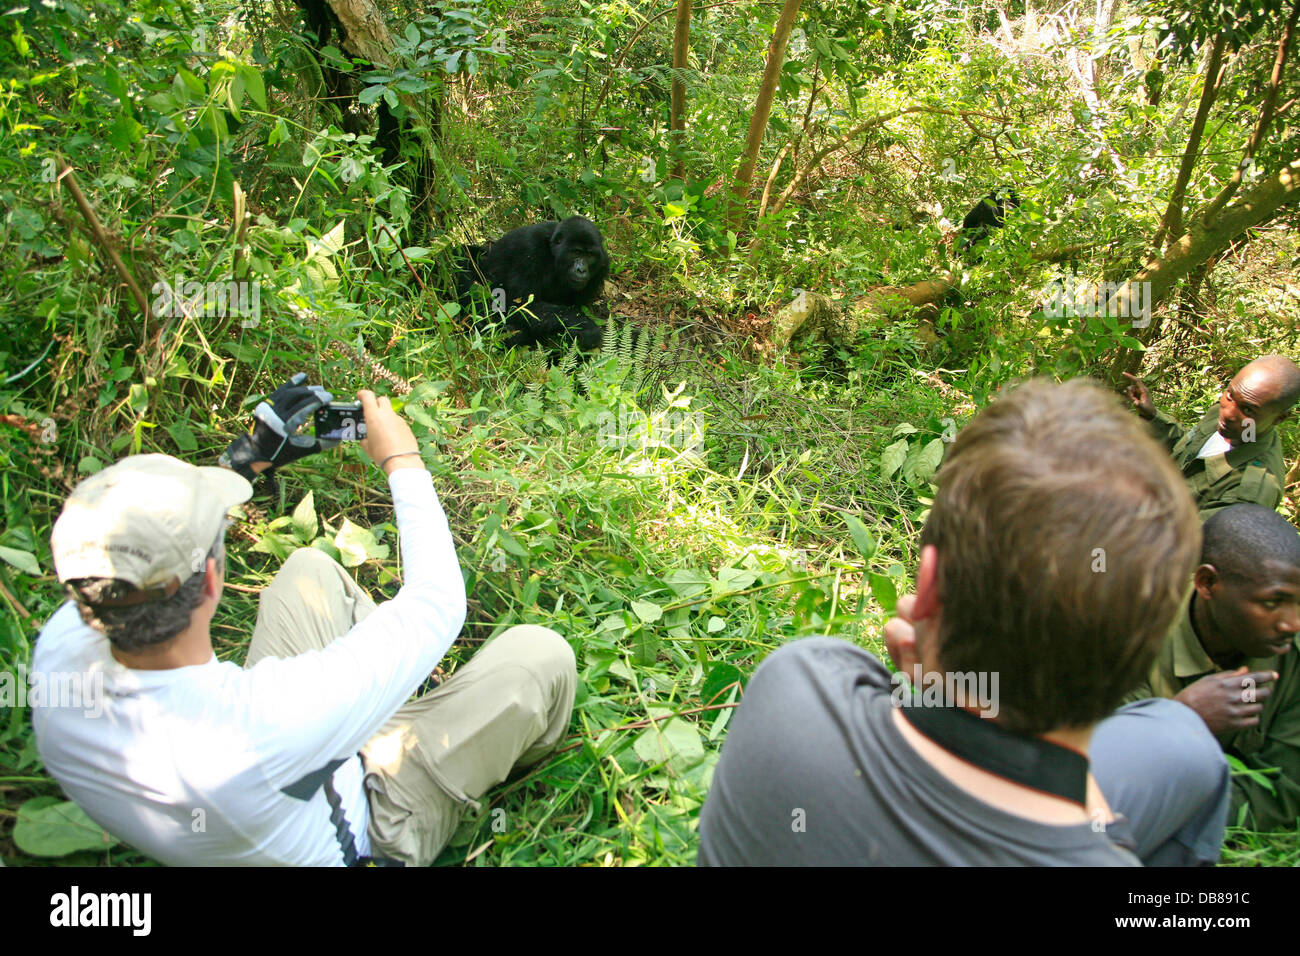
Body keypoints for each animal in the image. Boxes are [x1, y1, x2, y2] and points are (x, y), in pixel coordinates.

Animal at [457, 214, 608, 348]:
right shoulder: (529, 248)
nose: (581, 270)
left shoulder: (602, 263)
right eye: (576, 252)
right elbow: (521, 305)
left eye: (590, 255)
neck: (553, 252)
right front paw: (586, 326)